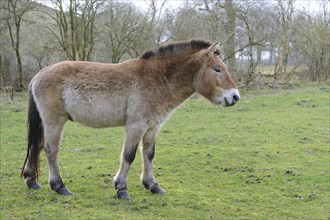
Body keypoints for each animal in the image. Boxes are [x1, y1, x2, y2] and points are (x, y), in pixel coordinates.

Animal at [21, 39, 240, 199]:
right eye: (217, 69)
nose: (235, 96)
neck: (156, 78)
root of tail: (39, 74)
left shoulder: (153, 127)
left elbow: (149, 154)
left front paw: (153, 185)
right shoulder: (136, 126)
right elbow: (129, 155)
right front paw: (121, 189)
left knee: (36, 146)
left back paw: (32, 181)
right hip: (54, 122)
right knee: (51, 150)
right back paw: (59, 186)